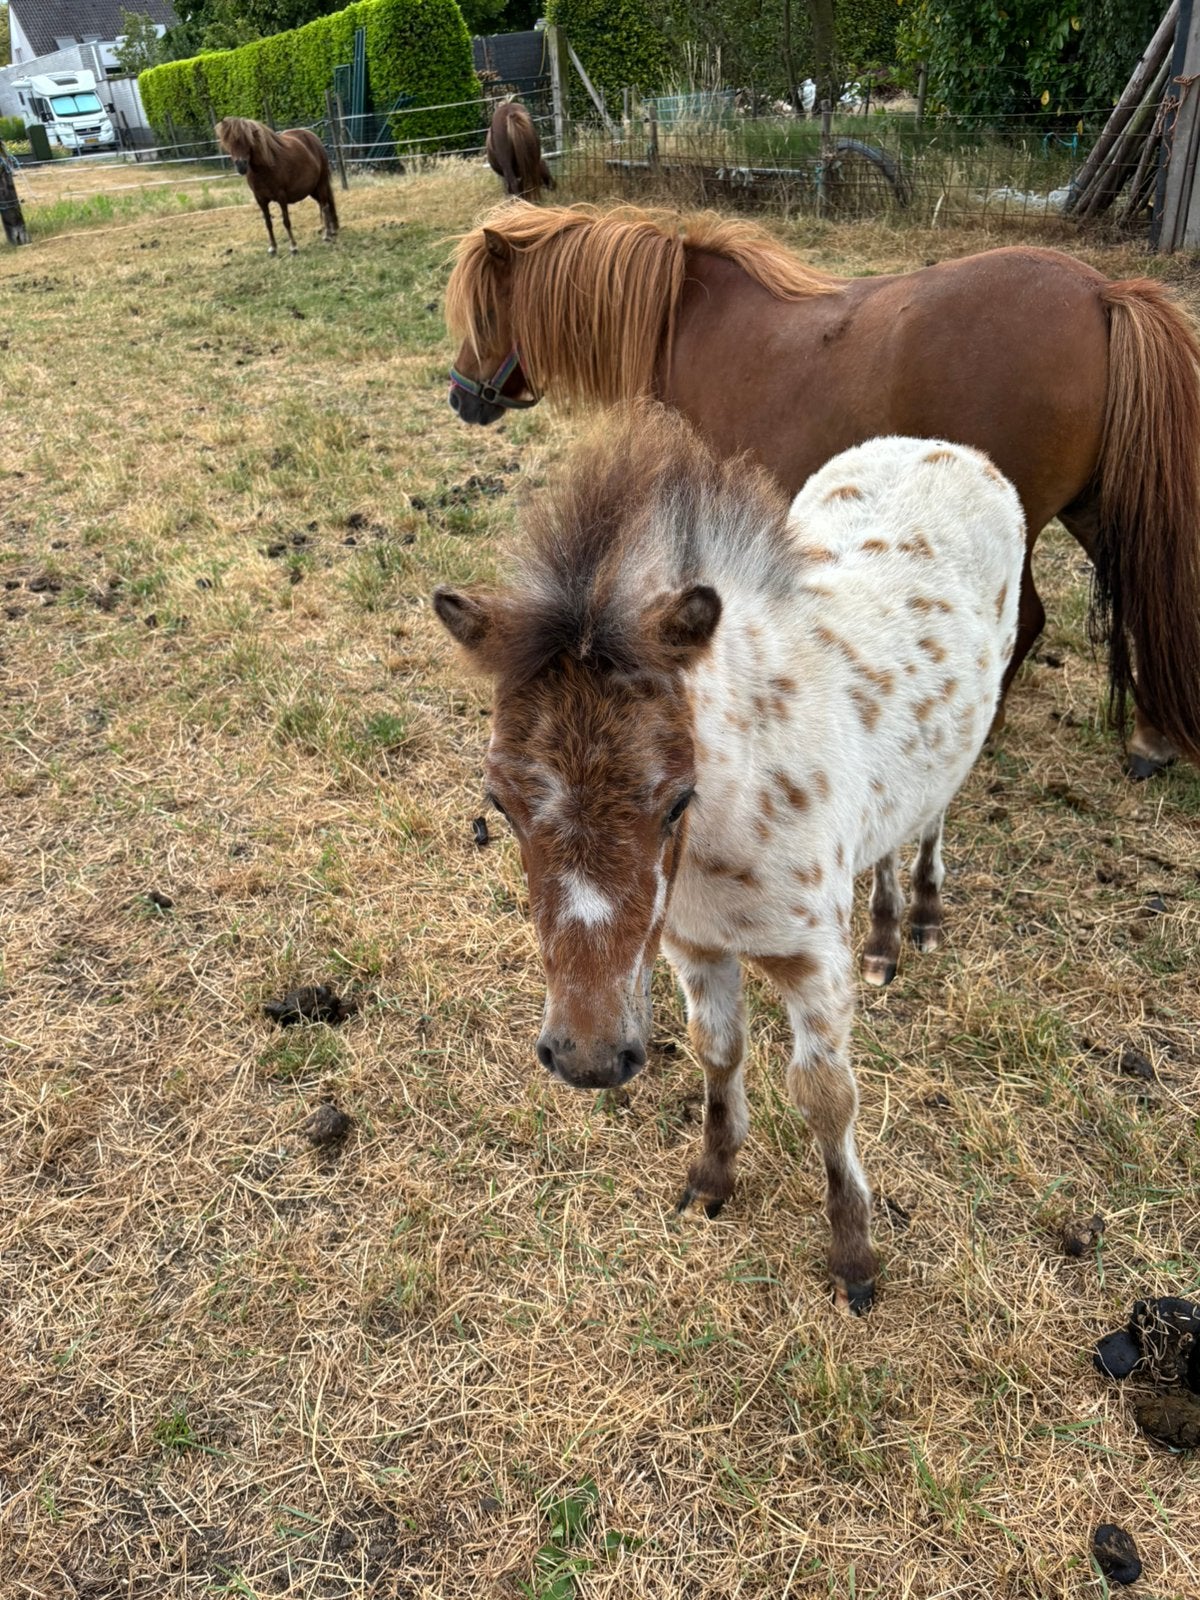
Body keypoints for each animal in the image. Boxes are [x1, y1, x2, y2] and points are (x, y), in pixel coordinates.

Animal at [216, 117, 339, 256]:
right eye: (227, 142)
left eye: (247, 139)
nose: (241, 166)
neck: (265, 167)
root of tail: (314, 138)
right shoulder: (260, 199)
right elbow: (268, 223)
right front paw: (273, 248)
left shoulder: (281, 196)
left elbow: (286, 221)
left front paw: (293, 247)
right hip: (312, 189)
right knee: (323, 205)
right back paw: (330, 230)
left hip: (321, 183)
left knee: (325, 206)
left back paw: (327, 234)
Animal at [434, 406, 1026, 1312]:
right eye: (500, 804)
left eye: (679, 798)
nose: (588, 1059)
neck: (729, 839)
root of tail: (947, 448)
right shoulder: (694, 946)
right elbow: (719, 1053)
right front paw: (711, 1181)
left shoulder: (814, 961)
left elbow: (826, 1098)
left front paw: (854, 1259)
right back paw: (885, 937)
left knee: (928, 820)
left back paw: (919, 921)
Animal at [444, 202, 1200, 782]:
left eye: (485, 313)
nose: (460, 398)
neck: (687, 321)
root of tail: (1101, 294)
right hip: (1096, 513)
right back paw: (1152, 736)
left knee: (1032, 620)